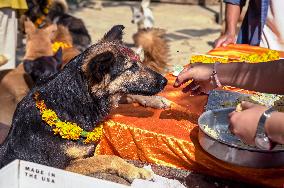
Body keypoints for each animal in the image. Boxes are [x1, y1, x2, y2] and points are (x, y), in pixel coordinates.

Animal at [0, 25, 166, 181]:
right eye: (131, 67)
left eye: (140, 61)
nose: (165, 81)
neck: (69, 100)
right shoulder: (62, 168)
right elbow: (108, 158)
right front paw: (136, 171)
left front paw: (155, 100)